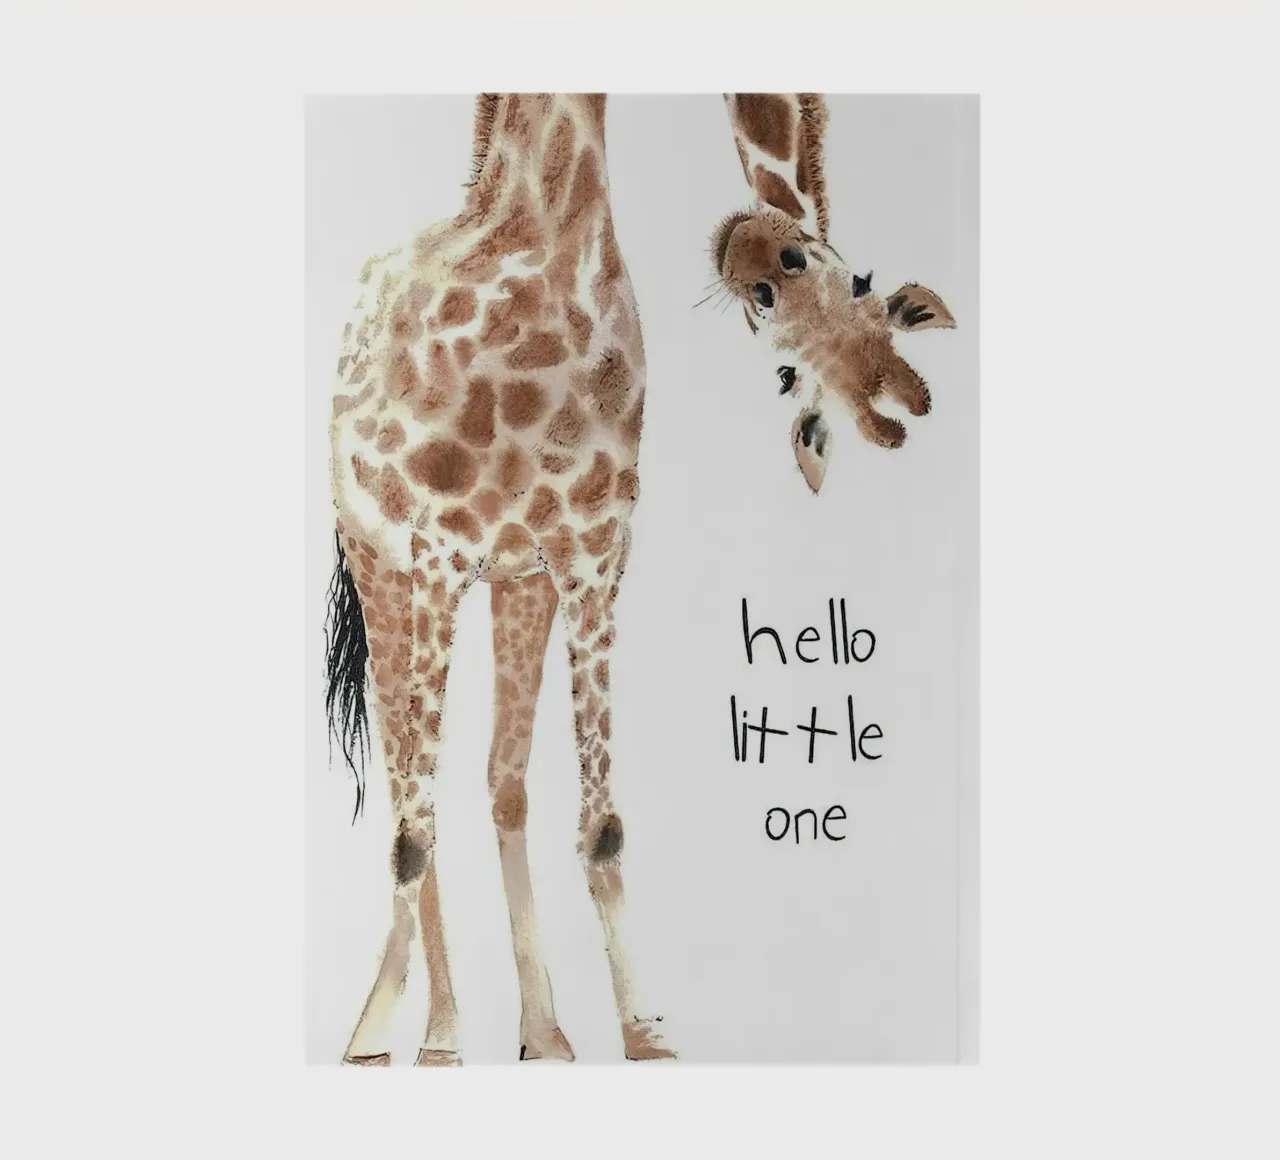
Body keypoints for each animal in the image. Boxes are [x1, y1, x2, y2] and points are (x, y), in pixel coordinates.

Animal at [323, 93, 954, 1065]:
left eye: (857, 286)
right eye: (806, 288)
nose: (759, 253)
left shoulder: (590, 556)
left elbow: (601, 825)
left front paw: (641, 1030)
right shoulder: (434, 557)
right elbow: (411, 836)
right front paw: (408, 1041)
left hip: (515, 583)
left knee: (500, 779)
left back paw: (540, 1032)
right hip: (381, 569)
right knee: (405, 790)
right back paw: (414, 1032)